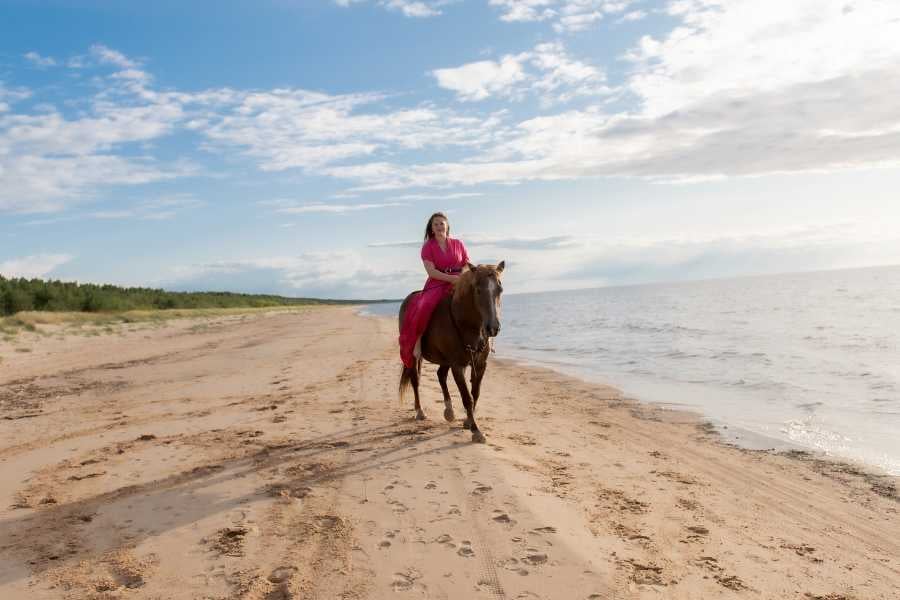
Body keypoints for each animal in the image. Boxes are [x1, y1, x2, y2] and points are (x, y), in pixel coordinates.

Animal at [400, 260, 506, 442]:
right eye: (478, 290)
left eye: (500, 289)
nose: (493, 328)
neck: (467, 324)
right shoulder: (457, 366)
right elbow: (466, 397)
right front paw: (476, 430)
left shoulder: (480, 364)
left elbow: (475, 393)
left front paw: (468, 422)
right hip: (414, 356)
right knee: (416, 380)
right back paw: (420, 411)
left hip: (445, 360)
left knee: (440, 375)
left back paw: (449, 411)